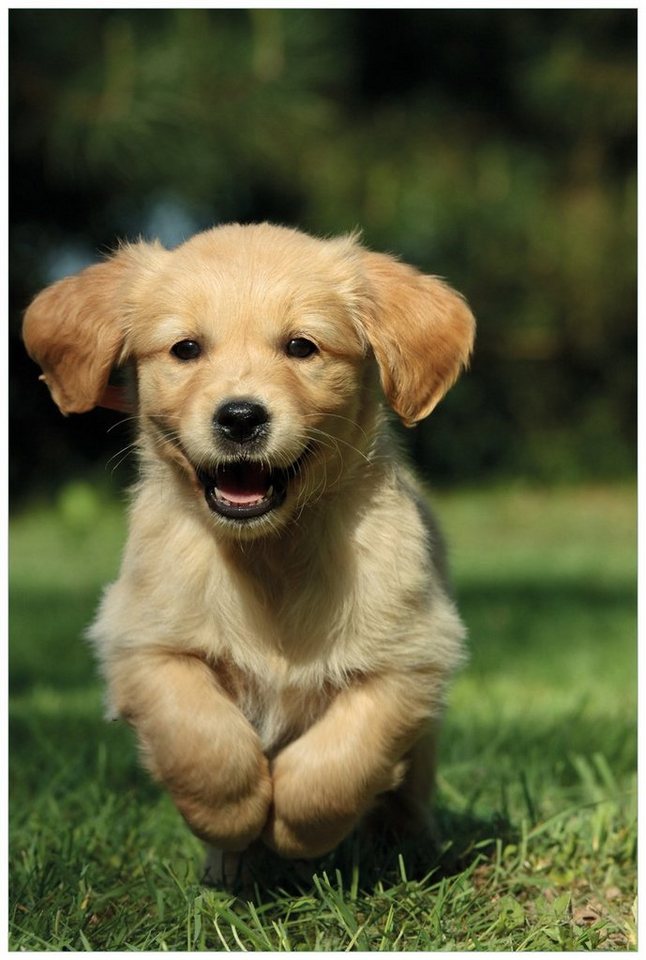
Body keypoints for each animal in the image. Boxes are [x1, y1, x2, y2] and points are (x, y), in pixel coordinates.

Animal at [22, 223, 476, 884]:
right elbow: (203, 739)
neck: (268, 553)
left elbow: (339, 761)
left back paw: (409, 845)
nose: (240, 418)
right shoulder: (142, 642)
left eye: (301, 347)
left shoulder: (410, 656)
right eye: (186, 349)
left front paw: (294, 827)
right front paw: (234, 821)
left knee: (408, 792)